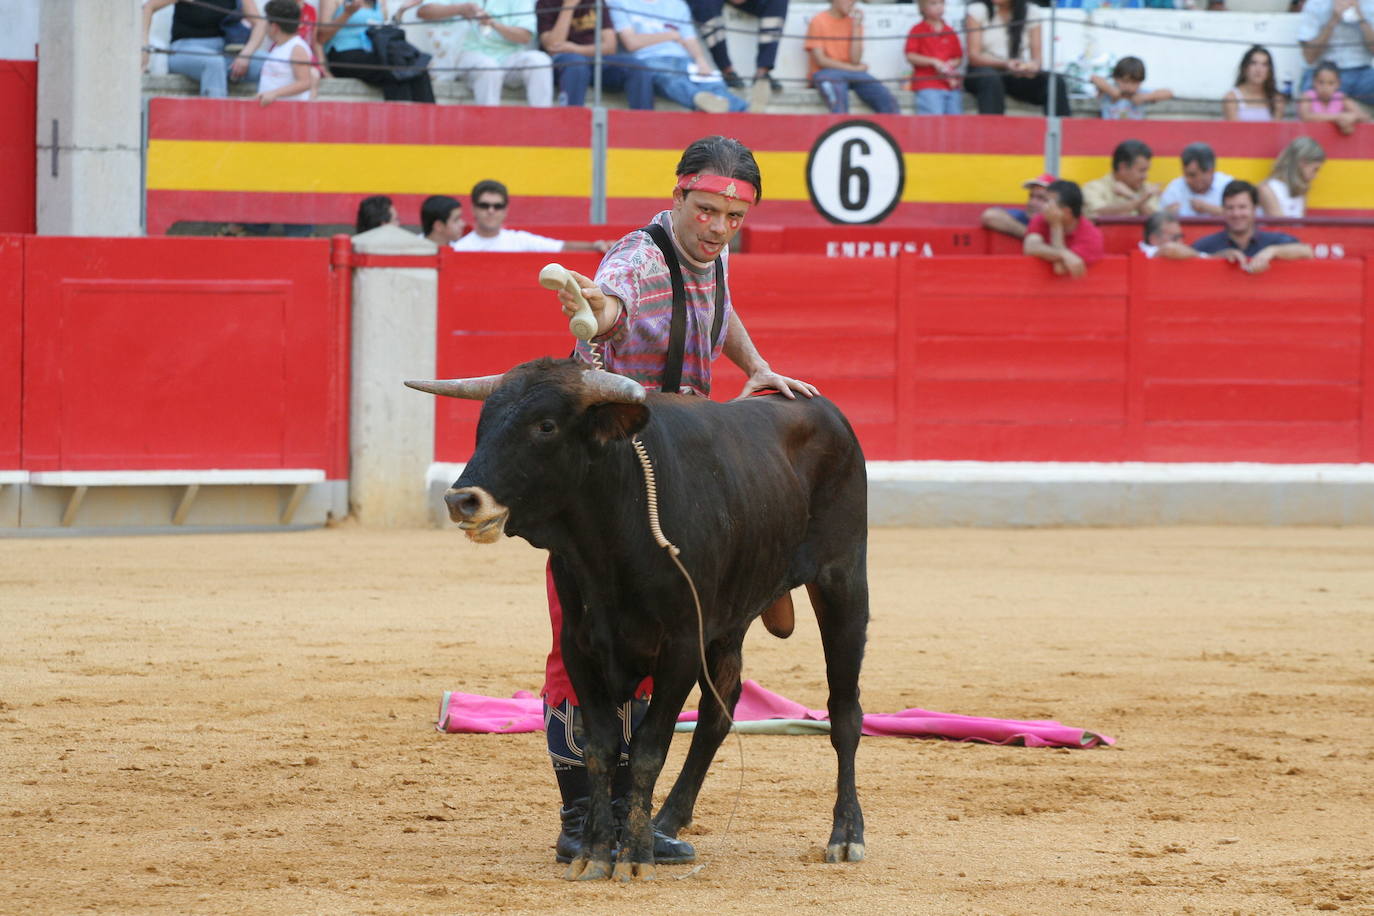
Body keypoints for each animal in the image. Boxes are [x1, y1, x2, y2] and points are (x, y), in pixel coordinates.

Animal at [401, 357, 868, 878]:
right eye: (483, 424)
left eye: (546, 426)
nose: (462, 501)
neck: (610, 536)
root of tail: (826, 411)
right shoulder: (579, 644)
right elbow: (601, 747)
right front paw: (596, 850)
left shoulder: (681, 644)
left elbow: (646, 746)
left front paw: (634, 854)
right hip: (730, 616)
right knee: (719, 710)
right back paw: (667, 822)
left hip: (843, 581)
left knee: (844, 710)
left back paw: (845, 835)